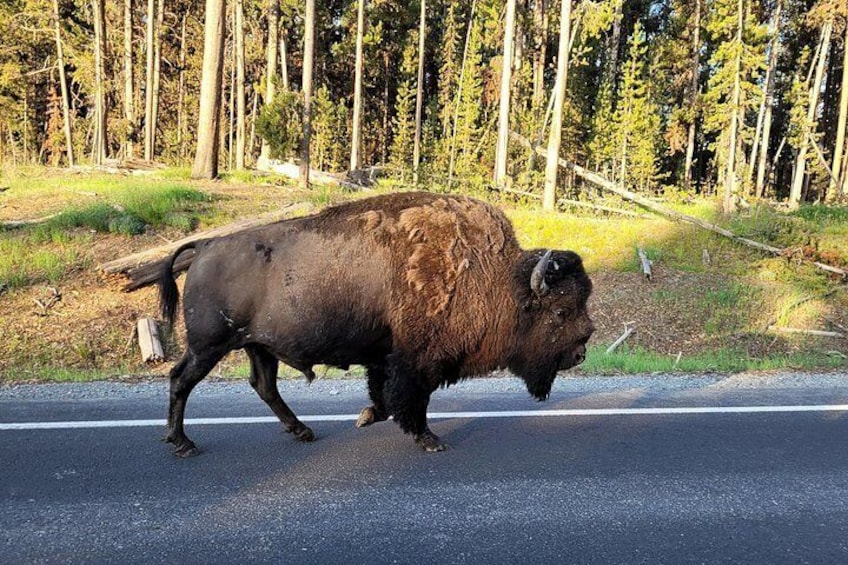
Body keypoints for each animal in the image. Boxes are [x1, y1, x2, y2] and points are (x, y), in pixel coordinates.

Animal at [159, 191, 593, 456]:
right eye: (560, 312)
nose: (580, 352)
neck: (492, 276)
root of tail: (205, 246)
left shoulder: (383, 357)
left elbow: (383, 395)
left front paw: (366, 417)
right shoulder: (416, 361)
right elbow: (412, 399)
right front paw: (429, 439)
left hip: (257, 346)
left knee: (264, 386)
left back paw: (302, 431)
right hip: (209, 345)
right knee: (181, 380)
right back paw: (182, 443)